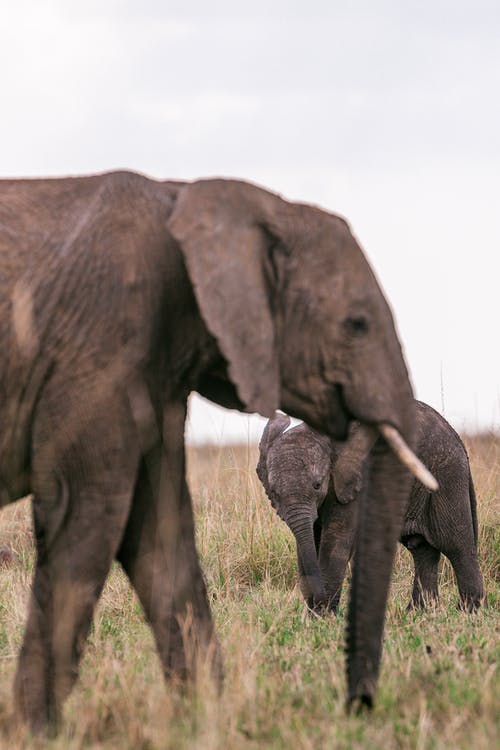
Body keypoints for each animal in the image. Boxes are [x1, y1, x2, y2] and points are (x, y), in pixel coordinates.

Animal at [0, 172, 434, 736]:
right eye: (356, 324)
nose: (357, 705)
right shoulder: (98, 352)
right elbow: (87, 520)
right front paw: (33, 733)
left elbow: (161, 534)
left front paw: (206, 718)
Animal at [258, 402, 484, 612]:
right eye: (274, 492)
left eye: (317, 484)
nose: (316, 600)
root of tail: (458, 439)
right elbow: (309, 540)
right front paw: (315, 615)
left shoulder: (356, 478)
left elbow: (337, 540)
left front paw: (322, 616)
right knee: (422, 549)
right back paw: (420, 612)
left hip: (446, 476)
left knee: (455, 544)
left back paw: (467, 611)